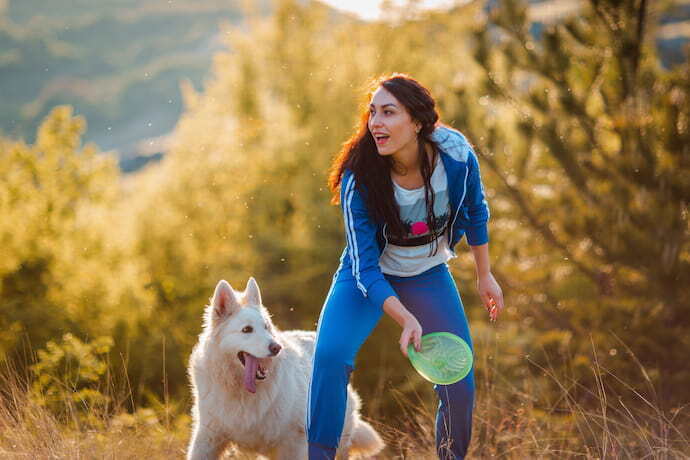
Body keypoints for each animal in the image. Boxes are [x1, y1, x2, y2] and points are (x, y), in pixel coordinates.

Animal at [185, 278, 384, 458]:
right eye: (247, 329)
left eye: (266, 327)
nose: (276, 348)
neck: (241, 391)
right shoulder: (208, 436)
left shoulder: (293, 443)